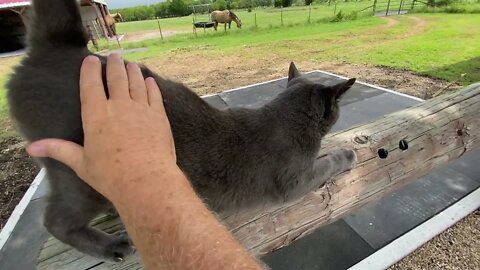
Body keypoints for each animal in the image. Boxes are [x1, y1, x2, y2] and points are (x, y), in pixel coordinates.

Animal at [7, 0, 358, 262]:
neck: (286, 115)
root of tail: (57, 49)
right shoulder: (294, 181)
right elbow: (326, 163)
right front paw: (346, 154)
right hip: (81, 172)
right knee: (55, 220)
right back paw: (111, 245)